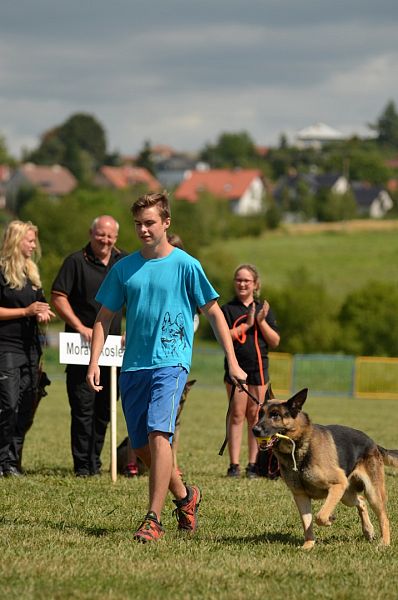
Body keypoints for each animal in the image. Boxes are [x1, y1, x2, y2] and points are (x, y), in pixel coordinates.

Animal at [252, 386, 398, 552]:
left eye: (275, 415)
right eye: (260, 413)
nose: (254, 430)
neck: (301, 446)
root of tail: (373, 443)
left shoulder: (337, 485)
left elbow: (319, 517)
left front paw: (329, 519)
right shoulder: (300, 495)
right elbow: (307, 523)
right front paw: (308, 545)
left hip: (371, 493)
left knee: (384, 517)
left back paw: (384, 542)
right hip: (346, 495)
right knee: (361, 501)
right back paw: (368, 530)